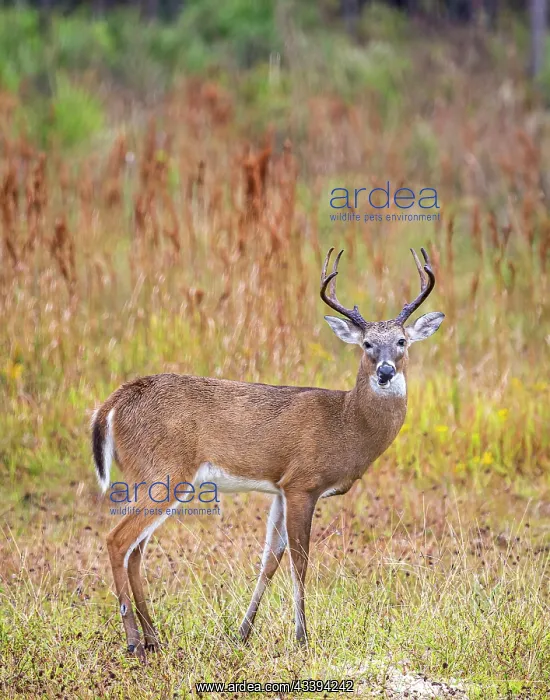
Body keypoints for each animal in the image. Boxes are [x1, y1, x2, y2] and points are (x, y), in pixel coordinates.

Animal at [91, 246, 444, 661]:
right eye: (366, 344)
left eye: (402, 341)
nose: (386, 372)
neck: (346, 423)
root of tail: (116, 400)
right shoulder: (303, 483)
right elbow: (299, 560)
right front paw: (303, 637)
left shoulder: (279, 487)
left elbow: (269, 560)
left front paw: (243, 632)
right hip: (164, 473)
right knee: (117, 540)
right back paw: (134, 640)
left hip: (148, 477)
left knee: (135, 550)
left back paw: (153, 638)